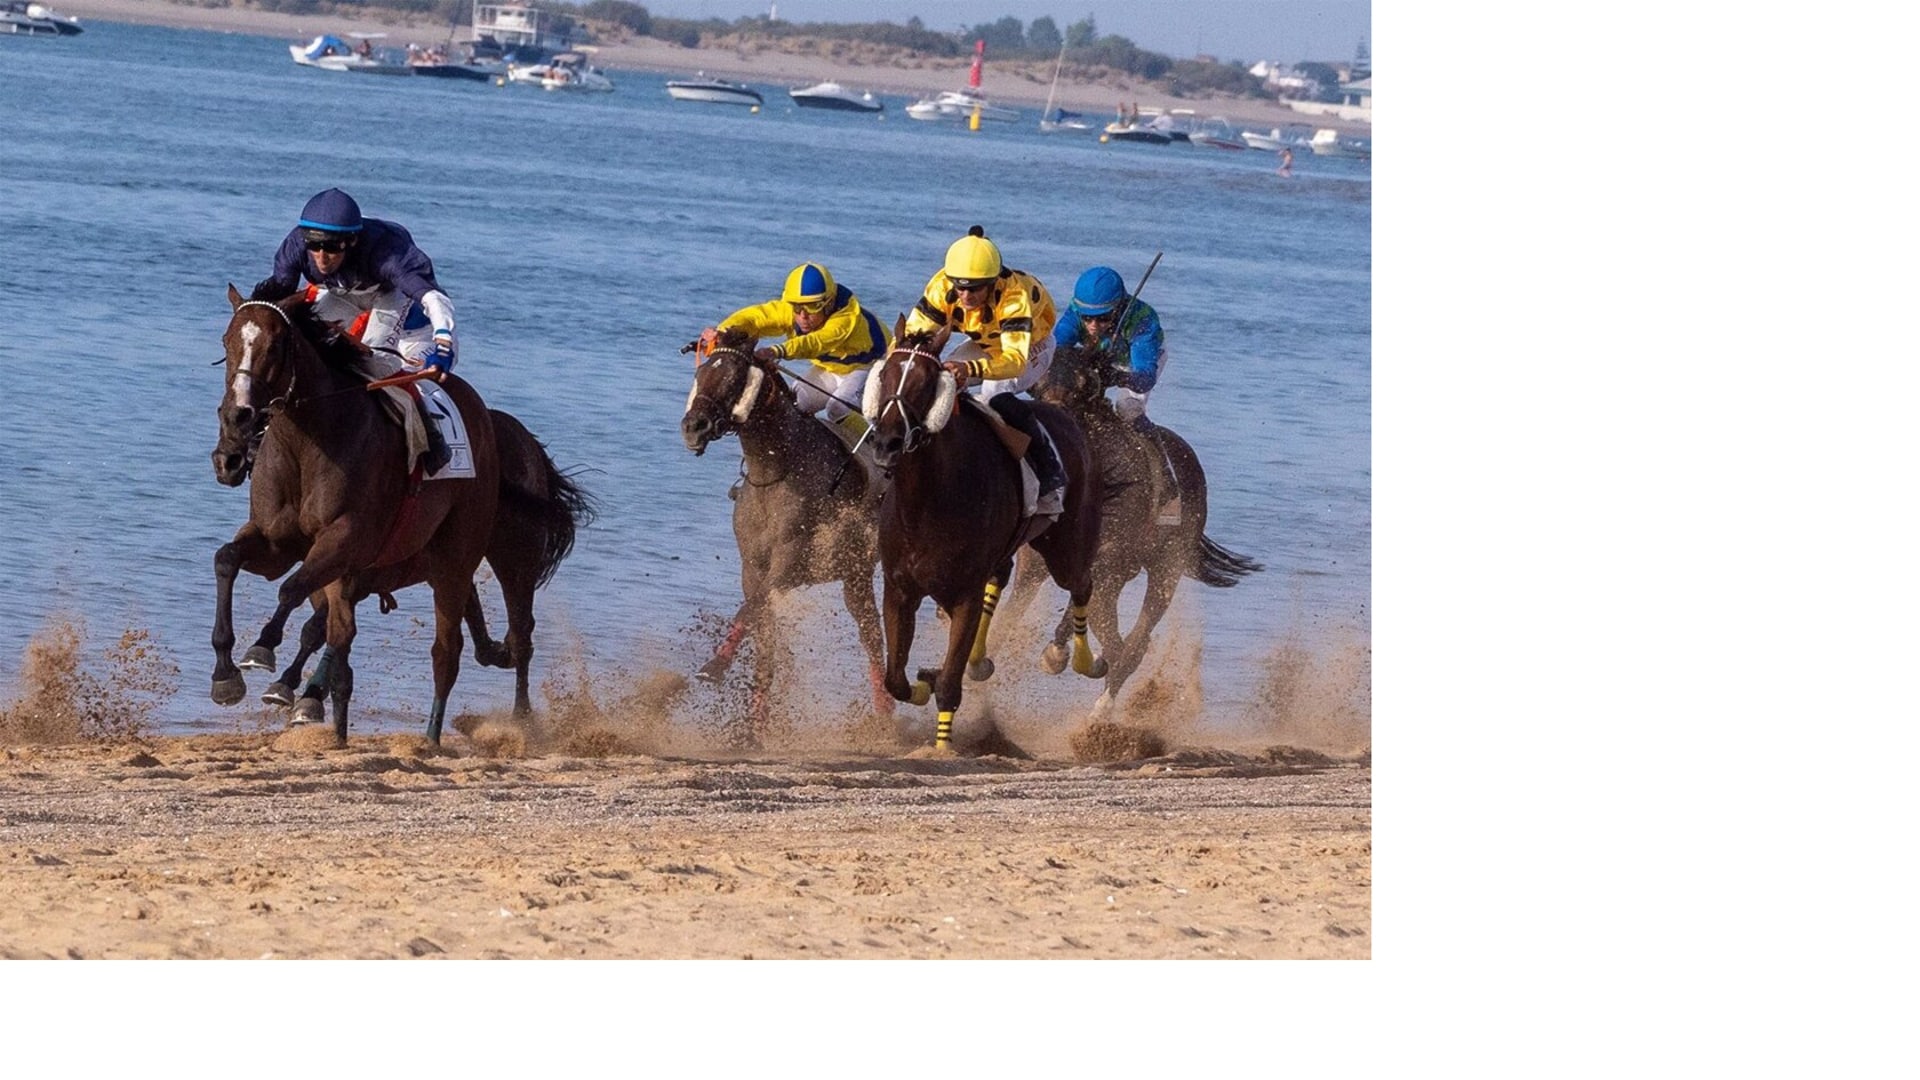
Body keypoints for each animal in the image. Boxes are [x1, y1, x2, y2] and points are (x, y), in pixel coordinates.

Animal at [208, 282, 503, 745]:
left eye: (275, 346)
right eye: (227, 341)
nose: (238, 421)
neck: (307, 440)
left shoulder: (343, 538)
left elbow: (292, 591)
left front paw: (263, 648)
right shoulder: (276, 542)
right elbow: (227, 560)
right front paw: (225, 675)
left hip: (454, 563)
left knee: (445, 652)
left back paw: (430, 740)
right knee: (342, 631)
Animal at [259, 407, 591, 718]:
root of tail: (529, 444)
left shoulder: (355, 573)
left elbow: (317, 627)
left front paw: (297, 688)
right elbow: (321, 626)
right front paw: (294, 685)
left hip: (514, 557)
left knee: (522, 630)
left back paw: (521, 712)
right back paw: (497, 652)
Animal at [679, 322, 887, 737]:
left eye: (733, 378)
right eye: (701, 372)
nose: (693, 427)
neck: (777, 470)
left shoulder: (791, 565)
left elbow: (752, 608)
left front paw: (715, 667)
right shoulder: (752, 567)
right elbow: (762, 637)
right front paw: (754, 730)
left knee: (874, 637)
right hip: (856, 575)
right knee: (871, 631)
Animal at [864, 326, 1105, 749]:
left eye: (926, 382)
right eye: (886, 374)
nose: (886, 442)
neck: (928, 500)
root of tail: (1069, 418)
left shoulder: (964, 594)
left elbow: (949, 685)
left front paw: (943, 748)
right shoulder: (899, 589)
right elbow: (896, 680)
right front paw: (924, 683)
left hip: (1067, 545)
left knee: (1081, 584)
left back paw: (1084, 660)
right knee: (1002, 577)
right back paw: (980, 662)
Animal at [1029, 340, 1267, 711]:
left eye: (1081, 386)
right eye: (1037, 384)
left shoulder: (1109, 561)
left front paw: (1059, 656)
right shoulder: (1035, 563)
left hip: (1166, 566)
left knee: (1135, 643)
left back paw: (1100, 710)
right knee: (1114, 634)